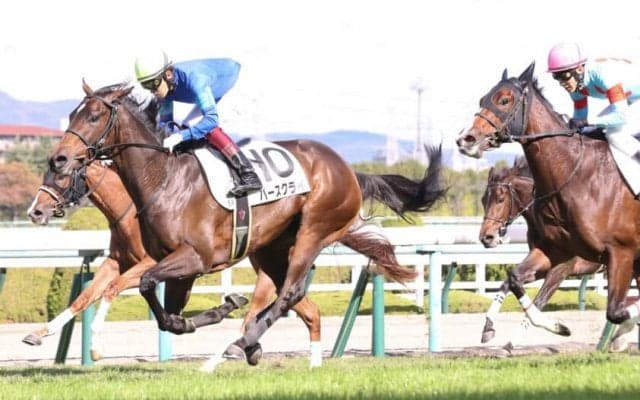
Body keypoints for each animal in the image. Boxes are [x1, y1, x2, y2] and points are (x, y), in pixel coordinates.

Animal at [48, 81, 447, 365]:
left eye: (93, 117)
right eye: (71, 115)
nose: (58, 159)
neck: (164, 180)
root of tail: (348, 169)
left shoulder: (194, 258)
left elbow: (144, 285)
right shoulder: (175, 265)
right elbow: (166, 315)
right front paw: (214, 311)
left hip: (314, 230)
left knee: (289, 294)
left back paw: (244, 343)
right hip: (272, 248)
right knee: (296, 299)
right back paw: (250, 342)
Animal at [456, 62, 640, 339]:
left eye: (505, 100)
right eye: (482, 99)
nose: (465, 139)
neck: (575, 175)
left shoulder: (617, 254)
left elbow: (615, 311)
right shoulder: (555, 252)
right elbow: (513, 279)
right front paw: (558, 327)